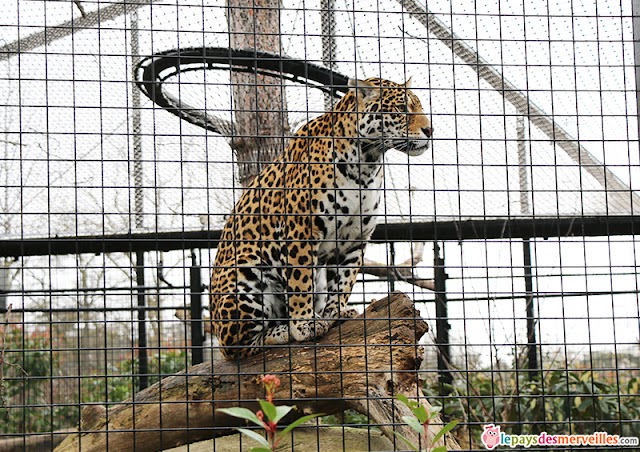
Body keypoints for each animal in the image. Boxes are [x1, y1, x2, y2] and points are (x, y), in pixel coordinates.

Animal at [212, 77, 432, 360]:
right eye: (402, 109)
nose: (430, 130)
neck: (367, 162)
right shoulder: (301, 230)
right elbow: (300, 281)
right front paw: (304, 324)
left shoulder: (355, 239)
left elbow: (344, 281)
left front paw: (336, 312)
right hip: (243, 274)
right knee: (238, 346)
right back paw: (283, 330)